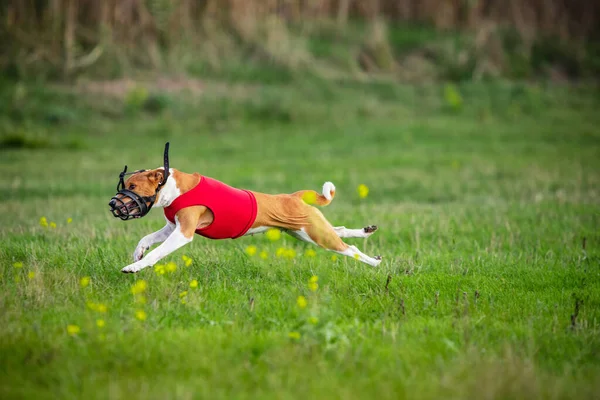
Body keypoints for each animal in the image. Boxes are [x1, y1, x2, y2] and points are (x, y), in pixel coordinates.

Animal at [112, 167, 380, 274]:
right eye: (126, 185)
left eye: (133, 186)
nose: (113, 204)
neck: (176, 188)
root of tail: (293, 196)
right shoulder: (172, 227)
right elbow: (146, 239)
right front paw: (137, 253)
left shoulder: (183, 232)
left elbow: (157, 253)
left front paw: (134, 267)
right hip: (305, 232)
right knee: (341, 230)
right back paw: (366, 231)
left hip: (316, 235)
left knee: (350, 249)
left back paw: (374, 262)